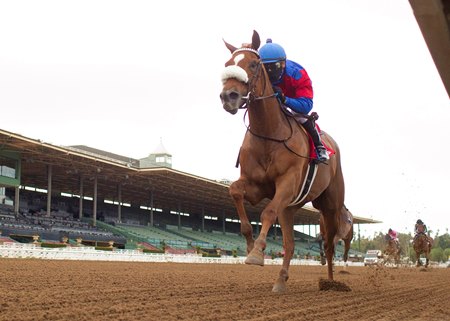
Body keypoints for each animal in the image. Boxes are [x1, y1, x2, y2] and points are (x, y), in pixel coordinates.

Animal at [220, 30, 346, 292]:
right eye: (227, 65)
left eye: (254, 64)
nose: (229, 96)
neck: (270, 133)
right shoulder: (255, 185)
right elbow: (235, 191)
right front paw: (250, 245)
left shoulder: (287, 184)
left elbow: (268, 212)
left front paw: (257, 253)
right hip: (290, 208)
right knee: (290, 243)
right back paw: (281, 279)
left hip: (330, 205)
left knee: (329, 244)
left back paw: (330, 282)